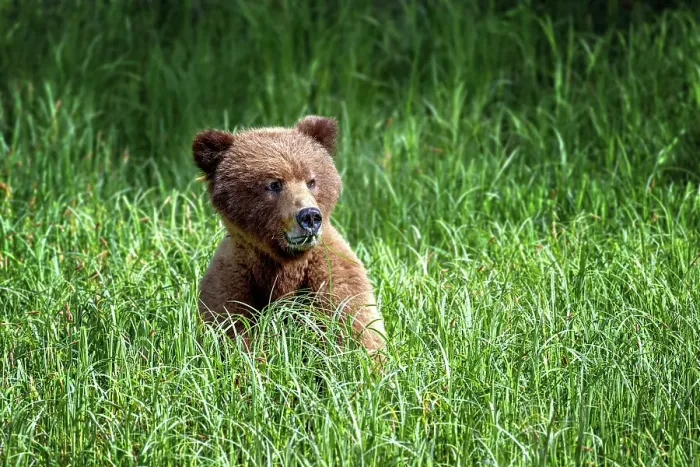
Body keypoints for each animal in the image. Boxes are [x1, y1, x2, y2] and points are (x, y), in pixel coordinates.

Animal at [192, 115, 386, 358]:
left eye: (311, 181)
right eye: (274, 184)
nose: (310, 216)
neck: (287, 260)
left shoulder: (330, 273)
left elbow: (356, 327)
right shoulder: (233, 279)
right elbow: (231, 331)